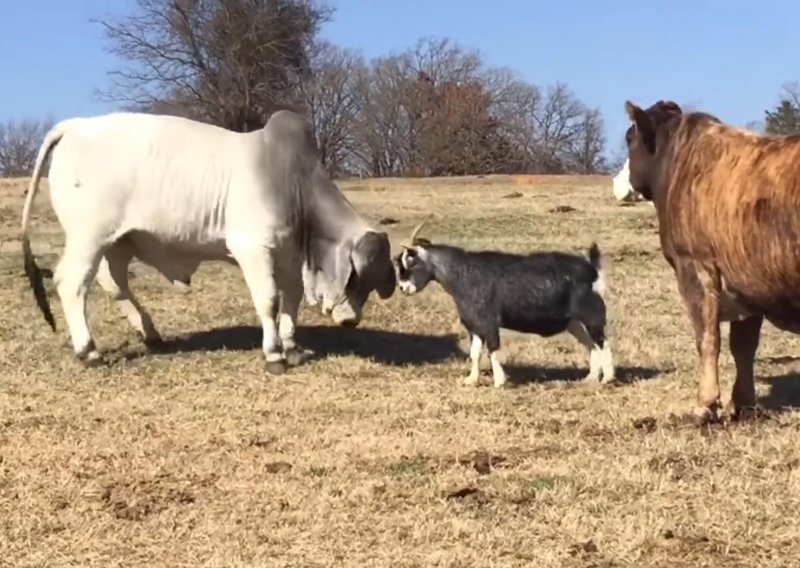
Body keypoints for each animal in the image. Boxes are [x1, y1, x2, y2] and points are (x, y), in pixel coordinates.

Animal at [23, 110, 398, 372]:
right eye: (358, 277)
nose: (351, 320)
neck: (293, 183)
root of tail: (73, 126)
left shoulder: (289, 256)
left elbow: (291, 300)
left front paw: (292, 347)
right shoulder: (253, 249)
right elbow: (269, 301)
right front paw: (274, 354)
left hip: (118, 242)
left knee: (114, 284)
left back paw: (150, 333)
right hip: (89, 237)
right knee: (72, 283)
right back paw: (89, 351)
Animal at [620, 100, 800, 424]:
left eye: (629, 137)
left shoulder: (694, 266)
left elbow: (707, 338)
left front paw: (705, 404)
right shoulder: (746, 282)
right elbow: (743, 346)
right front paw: (744, 403)